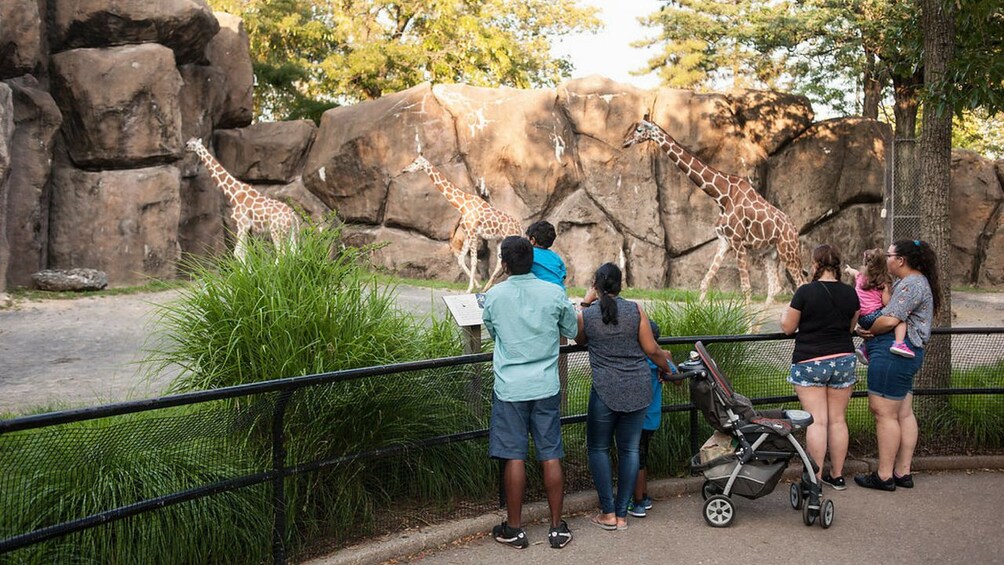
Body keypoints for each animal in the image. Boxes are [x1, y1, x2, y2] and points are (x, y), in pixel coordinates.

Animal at [401, 155, 522, 295]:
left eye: (416, 162)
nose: (404, 170)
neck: (462, 205)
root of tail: (520, 228)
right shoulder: (468, 233)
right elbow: (461, 259)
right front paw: (477, 285)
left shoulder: (473, 233)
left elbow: (473, 261)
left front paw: (469, 288)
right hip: (499, 240)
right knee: (499, 262)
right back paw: (486, 288)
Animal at [618, 117, 807, 305]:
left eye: (640, 130)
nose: (625, 142)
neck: (721, 197)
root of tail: (794, 230)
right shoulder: (724, 241)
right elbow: (705, 282)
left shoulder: (738, 241)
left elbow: (746, 289)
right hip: (770, 253)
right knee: (775, 288)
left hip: (788, 252)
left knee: (800, 282)